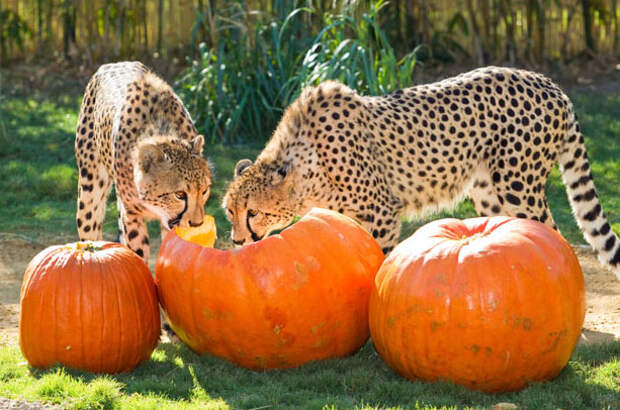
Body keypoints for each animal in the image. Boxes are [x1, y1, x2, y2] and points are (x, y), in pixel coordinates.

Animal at [74, 60, 211, 260]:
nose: (196, 224)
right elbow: (137, 255)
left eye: (204, 190)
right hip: (89, 193)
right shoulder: (131, 216)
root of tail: (115, 63)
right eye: (179, 194)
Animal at [225, 67, 616, 278]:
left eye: (254, 212)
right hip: (488, 193)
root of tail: (551, 84)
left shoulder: (380, 211)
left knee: (552, 234)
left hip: (519, 186)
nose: (237, 242)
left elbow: (380, 260)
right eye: (230, 212)